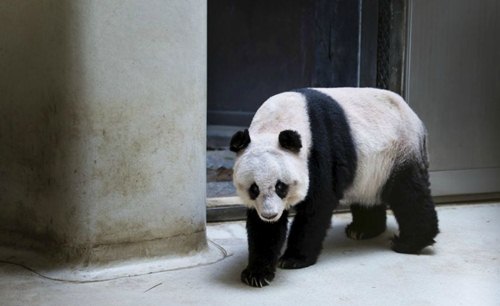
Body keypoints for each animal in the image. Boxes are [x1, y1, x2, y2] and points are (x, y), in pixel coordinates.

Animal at [229, 88, 438, 286]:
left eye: (281, 187)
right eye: (254, 189)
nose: (270, 215)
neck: (276, 123)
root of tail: (416, 119)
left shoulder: (320, 150)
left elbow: (317, 206)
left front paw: (294, 259)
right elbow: (262, 229)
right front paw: (257, 273)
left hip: (398, 151)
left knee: (408, 194)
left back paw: (409, 242)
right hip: (370, 170)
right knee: (369, 196)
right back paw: (363, 230)